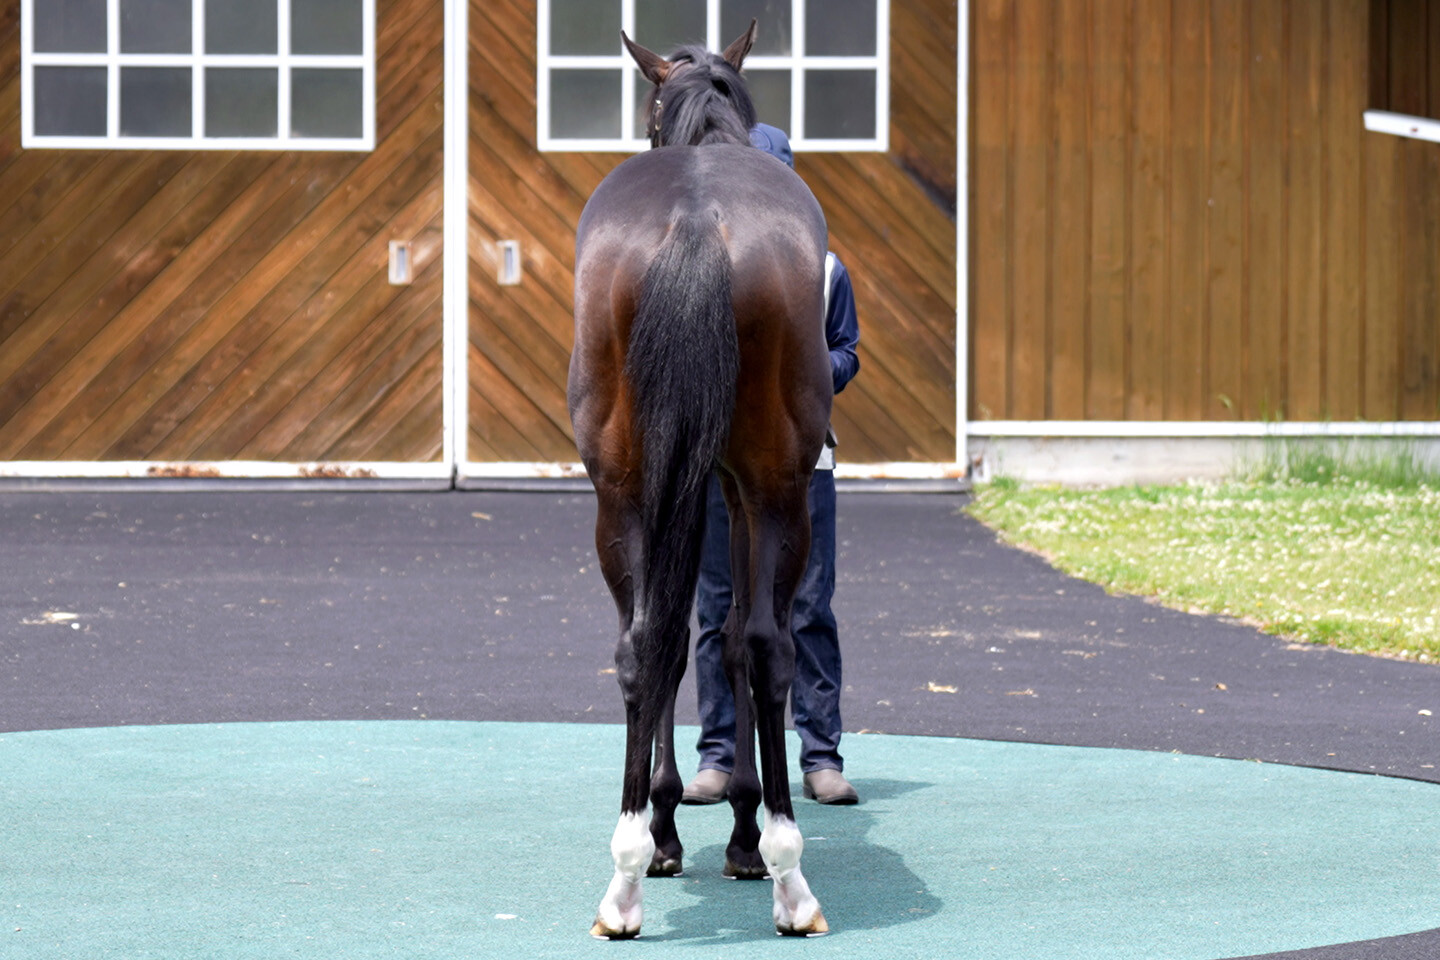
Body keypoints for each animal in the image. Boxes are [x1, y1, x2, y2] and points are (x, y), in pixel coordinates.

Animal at [567, 21, 833, 940]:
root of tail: (694, 216)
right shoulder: (731, 488)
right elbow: (721, 640)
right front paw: (716, 830)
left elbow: (689, 639)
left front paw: (678, 827)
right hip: (769, 486)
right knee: (753, 643)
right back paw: (776, 866)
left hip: (630, 490)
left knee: (653, 641)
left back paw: (640, 872)